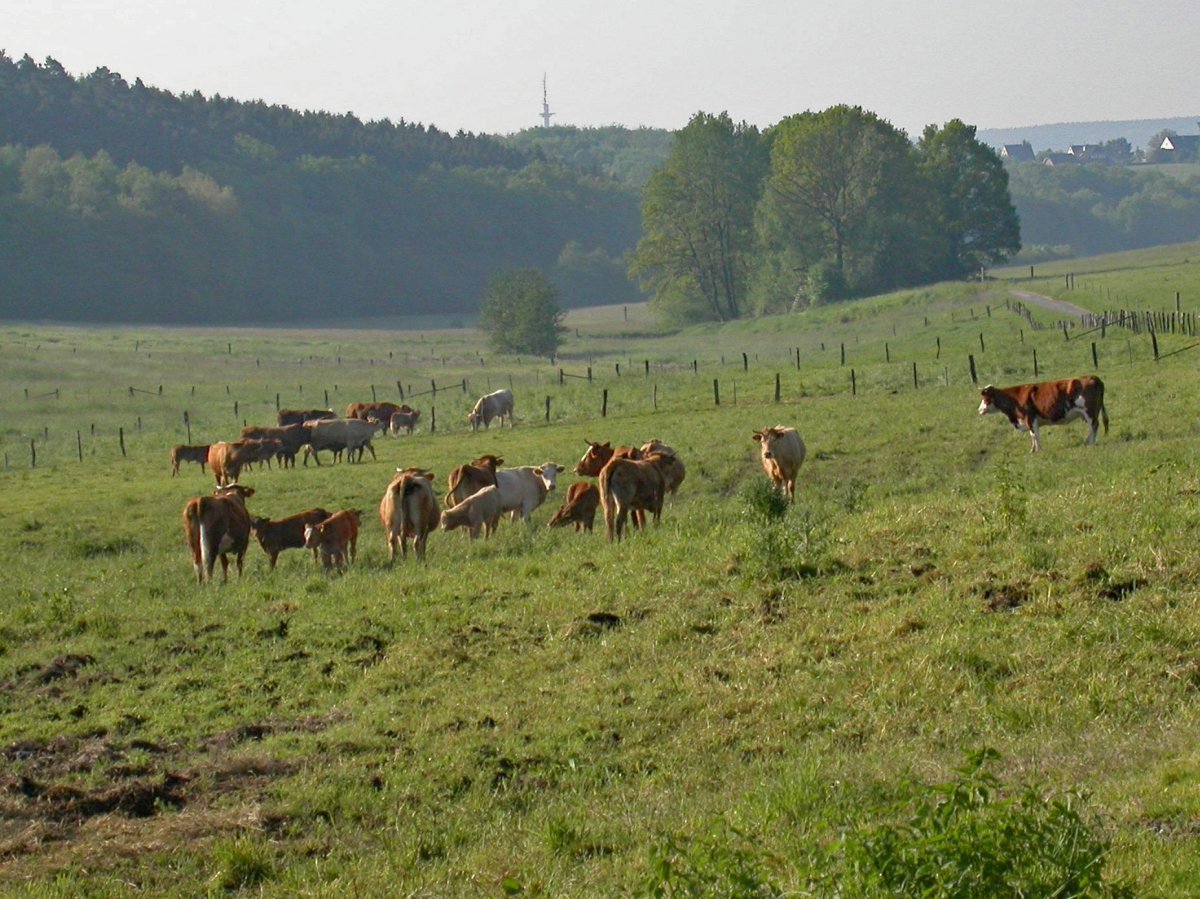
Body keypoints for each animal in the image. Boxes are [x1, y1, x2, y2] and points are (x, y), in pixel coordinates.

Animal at [974, 374, 1104, 451]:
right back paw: (1088, 442)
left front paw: (1038, 450)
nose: (979, 410)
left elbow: (1034, 434)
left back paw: (1090, 443)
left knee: (1094, 425)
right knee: (1094, 426)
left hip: (1089, 411)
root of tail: (1092, 377)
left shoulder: (1030, 418)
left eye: (985, 398)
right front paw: (1033, 450)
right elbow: (1033, 435)